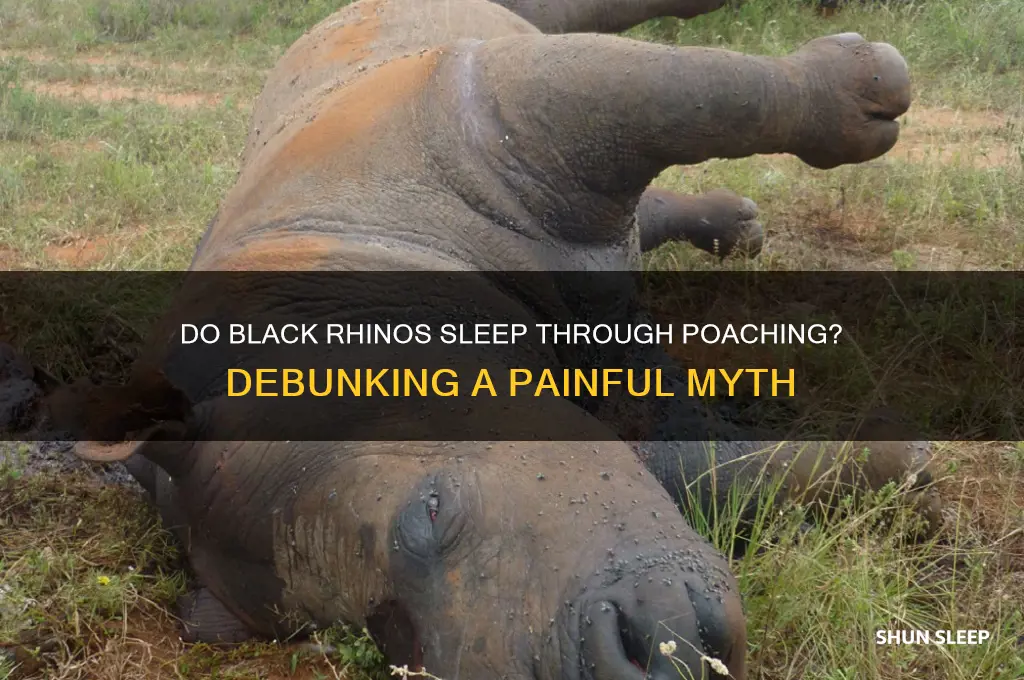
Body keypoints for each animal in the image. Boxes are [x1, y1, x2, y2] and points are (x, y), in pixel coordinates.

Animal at [15, 1, 946, 679]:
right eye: (388, 643)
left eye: (431, 512)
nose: (617, 662)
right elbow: (727, 474)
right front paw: (903, 467)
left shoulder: (486, 107)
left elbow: (688, 96)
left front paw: (857, 87)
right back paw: (735, 226)